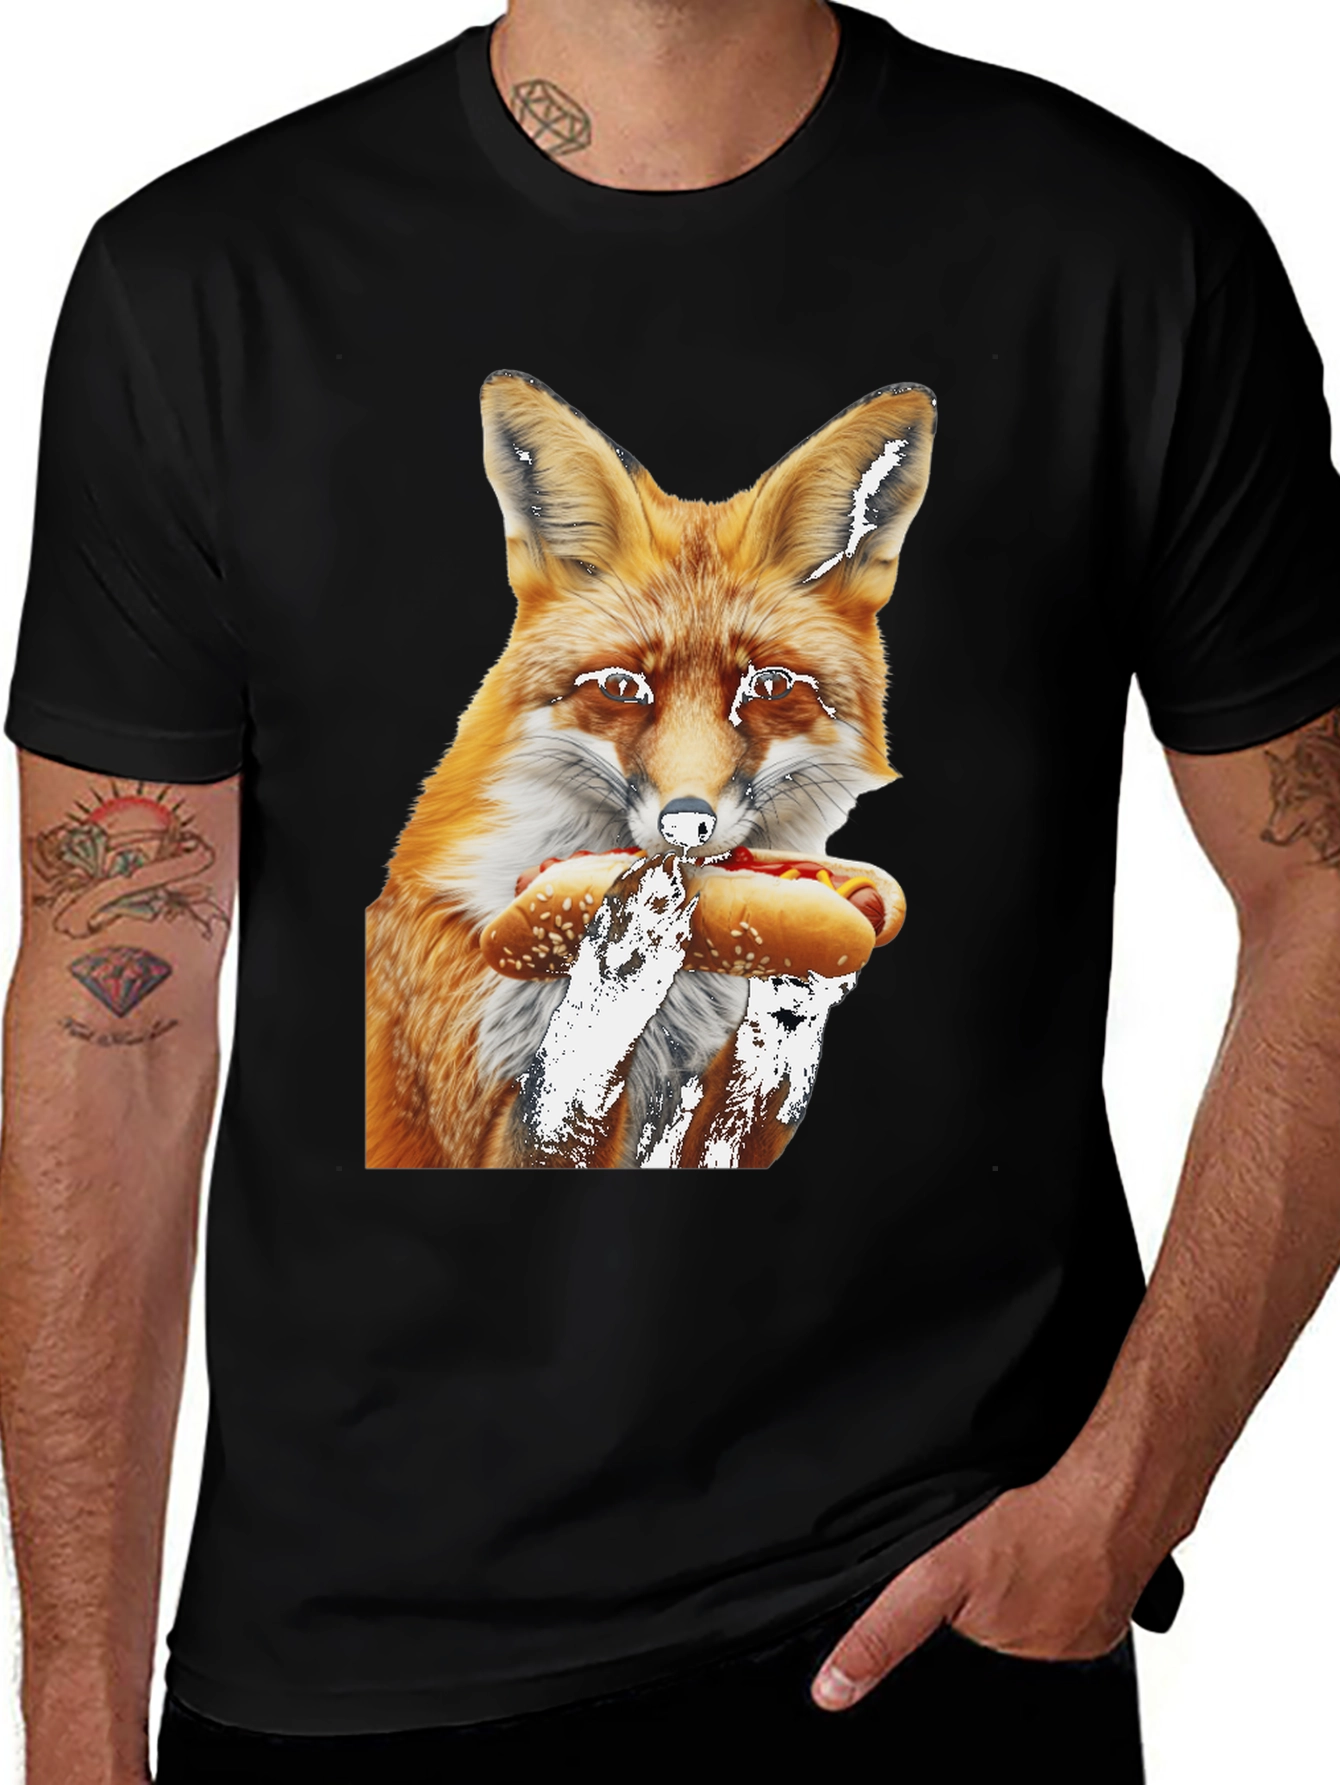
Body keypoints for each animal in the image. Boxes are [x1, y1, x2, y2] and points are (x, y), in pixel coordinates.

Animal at [366, 371, 936, 1169]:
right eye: (620, 687)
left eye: (768, 687)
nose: (687, 824)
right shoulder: (463, 1112)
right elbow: (564, 1087)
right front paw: (624, 947)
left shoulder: (685, 1112)